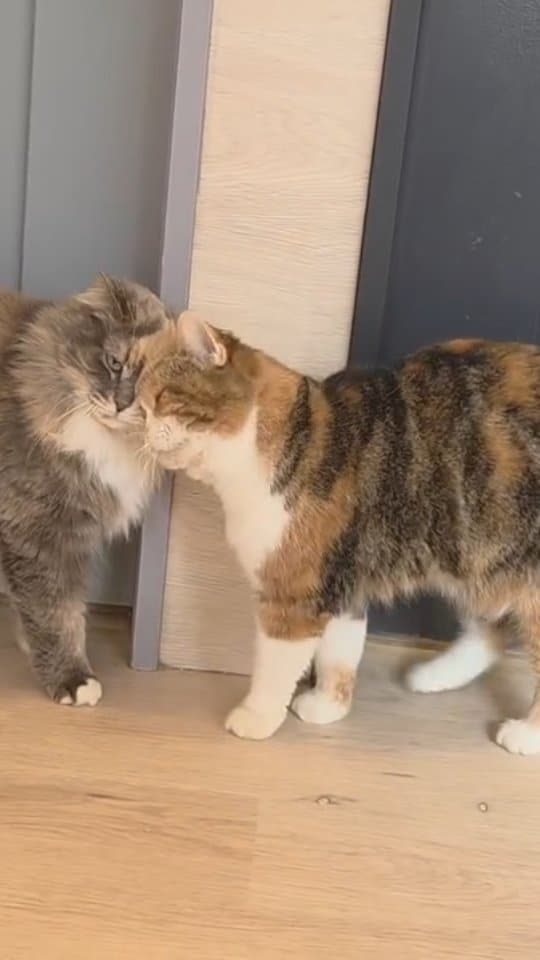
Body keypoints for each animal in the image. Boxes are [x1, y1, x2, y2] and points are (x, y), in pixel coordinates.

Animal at [0, 276, 167, 704]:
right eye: (115, 363)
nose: (122, 404)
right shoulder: (41, 532)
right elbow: (56, 612)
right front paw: (73, 680)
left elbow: (58, 609)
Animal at [139, 314, 540, 755]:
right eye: (141, 409)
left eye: (160, 399)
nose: (141, 429)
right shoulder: (342, 581)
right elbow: (340, 652)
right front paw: (328, 705)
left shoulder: (294, 593)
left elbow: (273, 667)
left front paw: (256, 717)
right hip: (479, 552)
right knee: (492, 625)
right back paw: (435, 675)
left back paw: (526, 735)